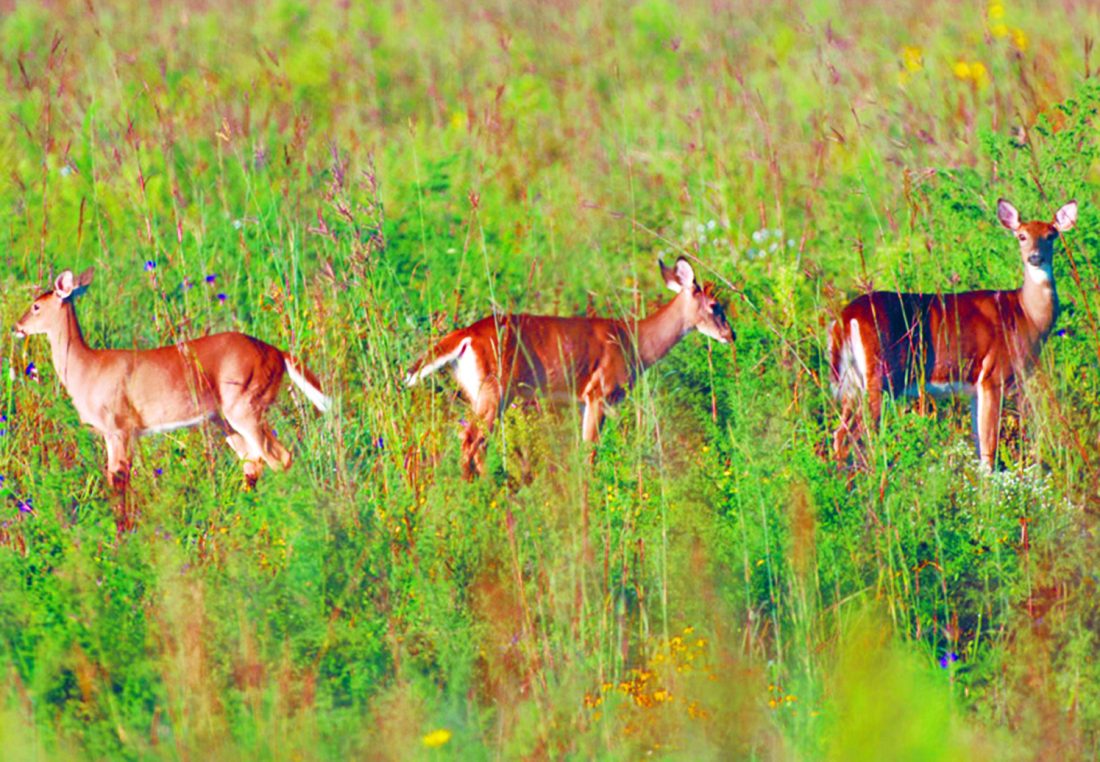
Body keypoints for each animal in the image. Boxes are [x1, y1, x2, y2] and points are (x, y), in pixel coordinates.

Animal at [13, 267, 331, 491]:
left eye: (36, 306)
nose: (16, 326)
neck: (87, 368)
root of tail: (277, 352)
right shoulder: (113, 432)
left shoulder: (120, 426)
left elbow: (119, 483)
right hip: (225, 419)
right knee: (253, 464)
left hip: (247, 405)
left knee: (279, 457)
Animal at [404, 257, 734, 479]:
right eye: (715, 306)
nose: (731, 335)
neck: (636, 341)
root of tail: (466, 335)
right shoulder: (600, 392)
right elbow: (590, 450)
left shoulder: (583, 400)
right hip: (495, 388)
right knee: (472, 439)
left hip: (478, 391)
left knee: (475, 441)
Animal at [830, 199, 1076, 470]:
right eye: (1021, 236)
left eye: (1051, 235)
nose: (1035, 257)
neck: (1025, 314)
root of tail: (847, 317)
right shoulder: (994, 375)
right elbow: (989, 448)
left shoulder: (975, 386)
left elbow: (980, 444)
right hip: (882, 374)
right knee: (857, 433)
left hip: (853, 382)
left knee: (839, 434)